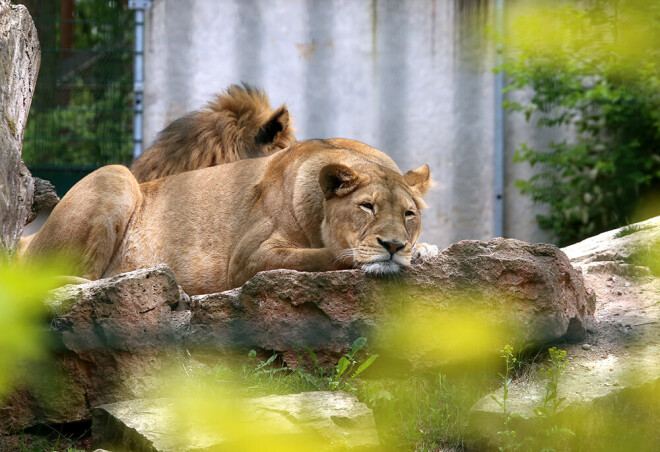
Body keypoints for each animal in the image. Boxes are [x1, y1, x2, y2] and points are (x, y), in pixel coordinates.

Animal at [19, 139, 434, 294]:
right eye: (367, 207)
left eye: (409, 214)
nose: (393, 245)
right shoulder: (247, 258)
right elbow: (326, 256)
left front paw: (423, 250)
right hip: (115, 175)